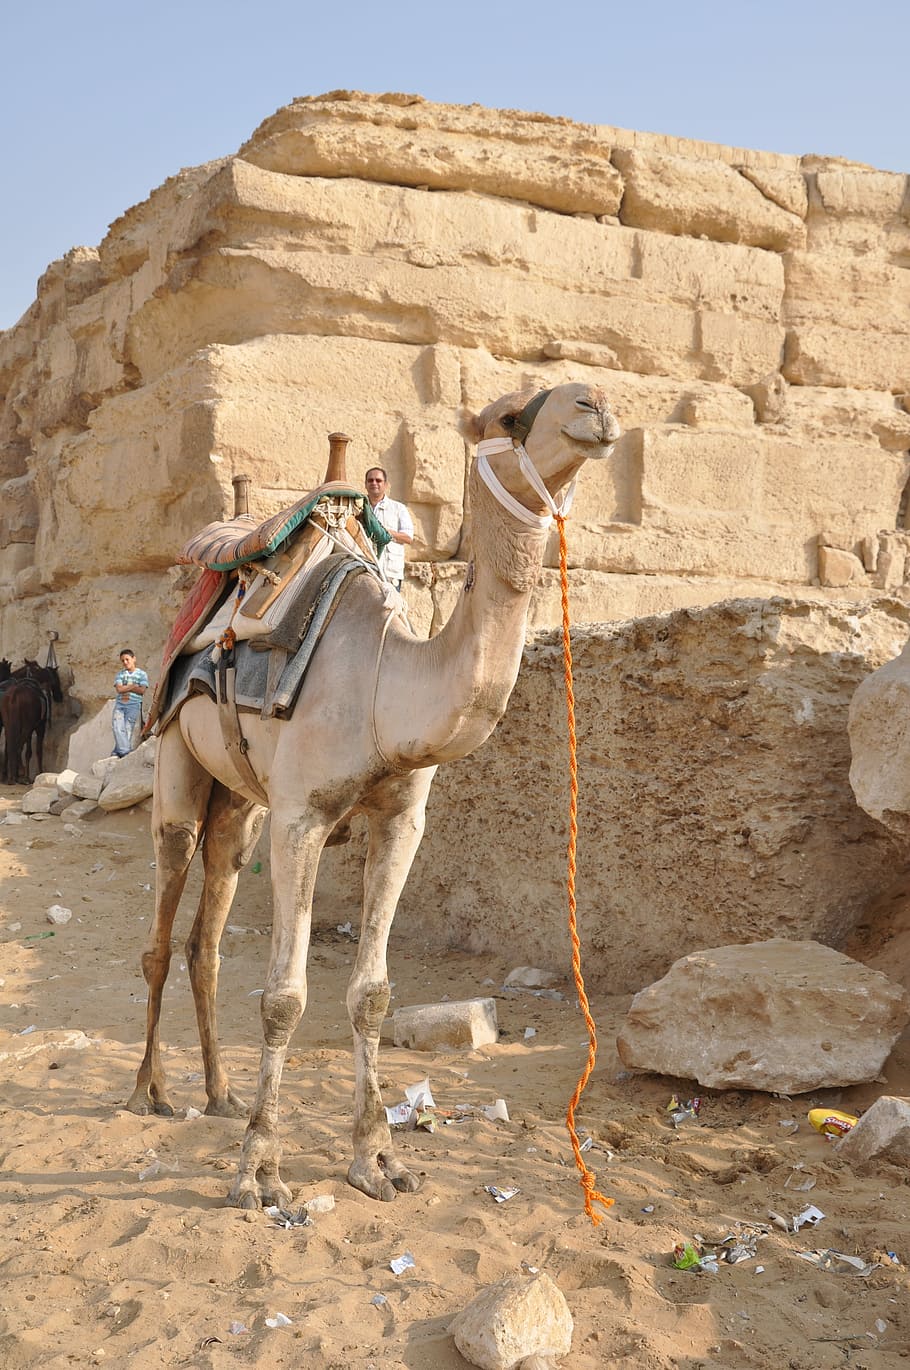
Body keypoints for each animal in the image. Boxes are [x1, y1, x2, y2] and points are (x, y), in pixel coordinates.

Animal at [127, 381, 620, 1208]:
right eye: (506, 416)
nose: (596, 404)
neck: (389, 685)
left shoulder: (399, 820)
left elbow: (373, 994)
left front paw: (378, 1160)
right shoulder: (302, 819)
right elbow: (285, 998)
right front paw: (259, 1172)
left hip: (242, 803)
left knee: (208, 934)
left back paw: (222, 1093)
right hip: (175, 759)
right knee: (163, 926)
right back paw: (149, 1093)